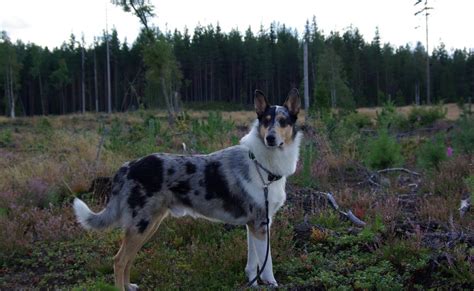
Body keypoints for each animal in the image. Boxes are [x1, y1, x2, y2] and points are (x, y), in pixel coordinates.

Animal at [74, 88, 304, 290]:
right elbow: (267, 263)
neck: (262, 165)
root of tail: (128, 166)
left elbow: (253, 262)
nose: (270, 138)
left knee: (128, 259)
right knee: (119, 260)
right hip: (142, 224)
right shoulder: (260, 224)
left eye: (283, 121)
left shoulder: (256, 224)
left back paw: (129, 286)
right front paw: (272, 284)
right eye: (265, 121)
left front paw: (253, 284)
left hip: (148, 224)